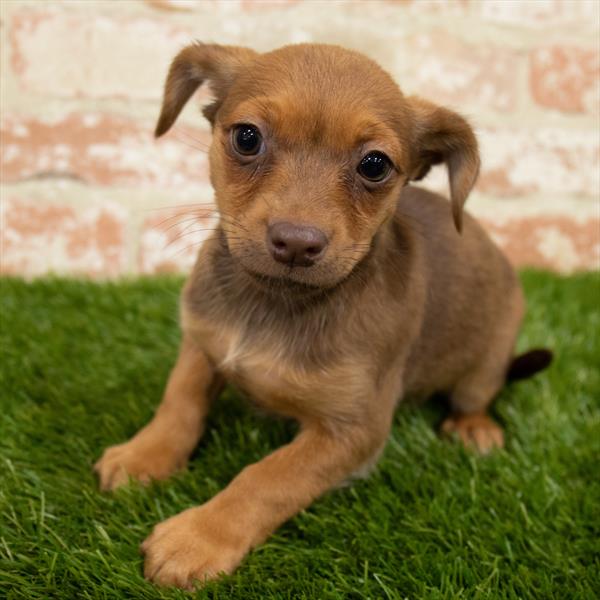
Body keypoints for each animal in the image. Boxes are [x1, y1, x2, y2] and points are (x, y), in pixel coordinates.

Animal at [95, 44, 552, 588]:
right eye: (246, 137)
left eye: (374, 165)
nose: (296, 242)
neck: (275, 303)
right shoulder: (202, 345)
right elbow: (178, 403)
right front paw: (144, 455)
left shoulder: (353, 430)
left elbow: (267, 477)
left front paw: (198, 537)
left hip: (488, 357)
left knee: (477, 394)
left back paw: (474, 428)